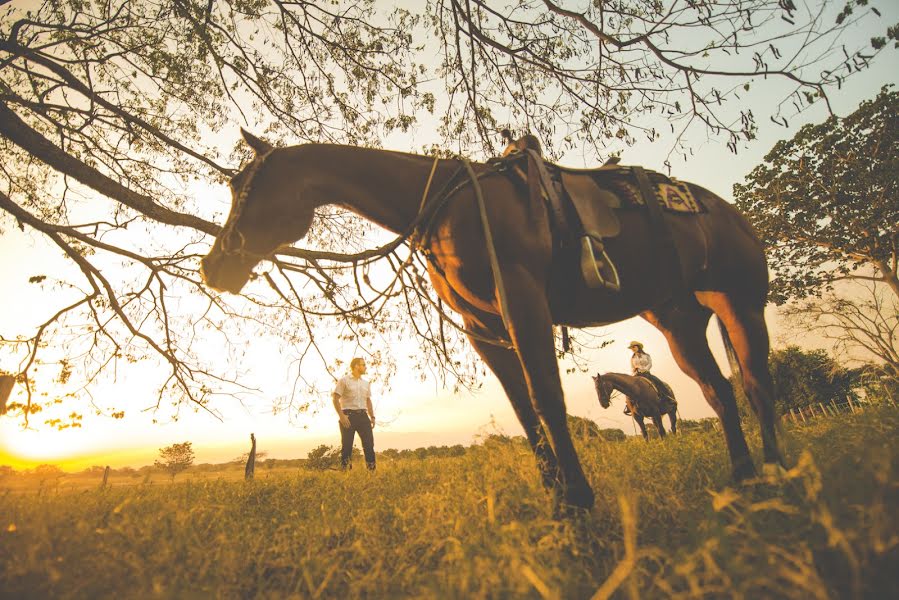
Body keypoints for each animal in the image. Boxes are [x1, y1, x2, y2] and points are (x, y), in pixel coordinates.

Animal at [200, 131, 784, 516]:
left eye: (243, 185)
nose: (213, 266)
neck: (444, 205)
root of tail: (728, 211)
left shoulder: (523, 303)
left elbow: (547, 399)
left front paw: (578, 499)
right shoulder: (483, 326)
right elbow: (524, 411)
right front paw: (557, 497)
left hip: (741, 306)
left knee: (756, 386)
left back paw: (776, 473)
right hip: (677, 320)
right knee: (718, 391)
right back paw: (742, 476)